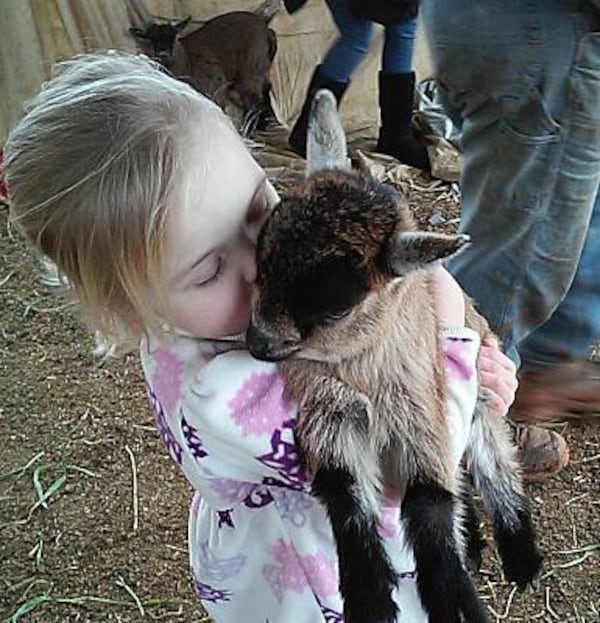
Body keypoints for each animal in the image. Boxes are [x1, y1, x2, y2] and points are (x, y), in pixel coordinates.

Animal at [246, 91, 540, 623]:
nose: (255, 342)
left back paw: (521, 558)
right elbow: (346, 497)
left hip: (480, 409)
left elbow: (430, 506)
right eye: (260, 262)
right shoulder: (329, 415)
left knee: (495, 465)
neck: (364, 375)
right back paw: (476, 545)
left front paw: (454, 604)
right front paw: (370, 600)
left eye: (336, 307)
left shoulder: (422, 413)